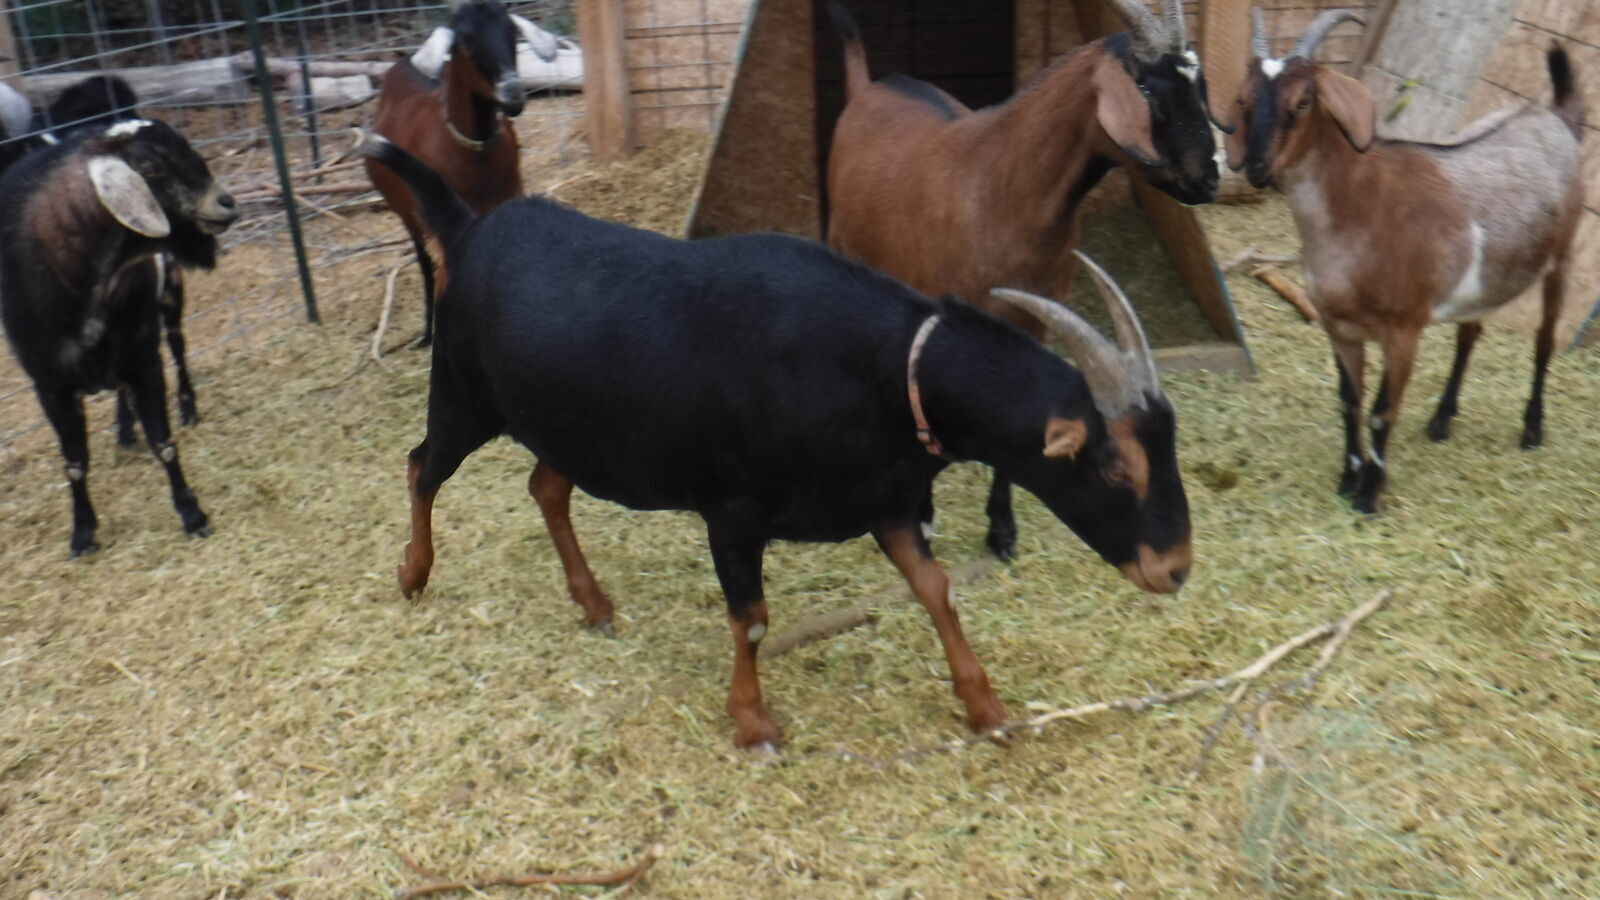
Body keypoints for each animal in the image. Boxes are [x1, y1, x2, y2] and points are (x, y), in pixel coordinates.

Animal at [0, 119, 238, 555]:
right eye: (149, 169)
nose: (227, 203)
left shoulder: (144, 361)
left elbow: (164, 442)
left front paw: (192, 514)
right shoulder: (49, 387)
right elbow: (74, 465)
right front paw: (82, 534)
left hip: (170, 297)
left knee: (179, 348)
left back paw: (186, 407)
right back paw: (126, 432)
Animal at [362, 133, 1193, 749]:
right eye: (1113, 466)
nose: (1176, 568)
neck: (888, 370)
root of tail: (471, 230)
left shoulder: (887, 500)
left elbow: (935, 588)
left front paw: (986, 709)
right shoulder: (732, 512)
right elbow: (754, 618)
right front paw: (754, 723)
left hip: (563, 426)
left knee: (546, 486)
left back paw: (594, 604)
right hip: (463, 396)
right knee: (422, 467)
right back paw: (412, 573)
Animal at [364, 0, 558, 346]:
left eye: (512, 32)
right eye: (464, 42)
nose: (512, 94)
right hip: (410, 216)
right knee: (425, 264)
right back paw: (427, 332)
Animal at [824, 0, 1223, 562]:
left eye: (1199, 82)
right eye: (1145, 88)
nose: (1209, 177)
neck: (998, 180)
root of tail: (867, 89)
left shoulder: (1034, 316)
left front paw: (1002, 531)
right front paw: (923, 515)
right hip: (843, 238)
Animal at [1226, 10, 1584, 513]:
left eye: (1303, 102)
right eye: (1245, 99)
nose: (1256, 167)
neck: (1360, 211)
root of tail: (1553, 117)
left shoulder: (1403, 330)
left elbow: (1381, 411)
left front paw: (1369, 496)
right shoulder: (1340, 329)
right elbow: (1348, 402)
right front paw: (1347, 479)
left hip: (1561, 259)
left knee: (1544, 341)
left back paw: (1532, 429)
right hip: (1485, 281)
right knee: (1470, 334)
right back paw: (1441, 420)